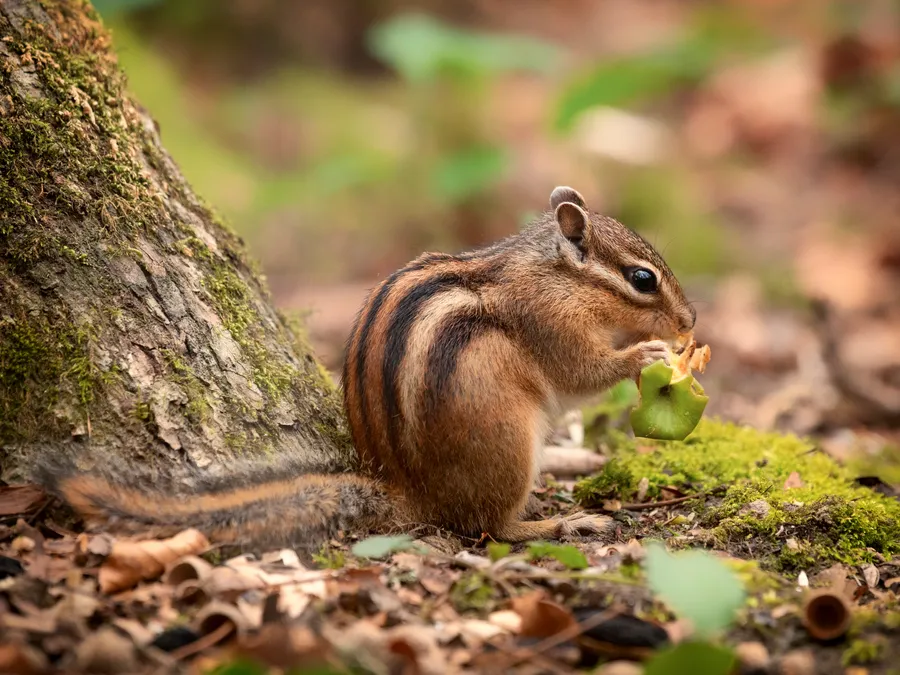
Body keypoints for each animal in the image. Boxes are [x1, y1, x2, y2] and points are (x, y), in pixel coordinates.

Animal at [36, 186, 696, 550]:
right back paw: (561, 525)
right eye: (642, 279)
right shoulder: (548, 322)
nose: (690, 320)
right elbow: (580, 372)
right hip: (508, 442)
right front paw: (646, 356)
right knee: (489, 527)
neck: (552, 273)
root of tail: (413, 497)